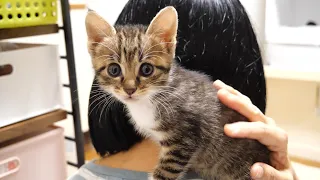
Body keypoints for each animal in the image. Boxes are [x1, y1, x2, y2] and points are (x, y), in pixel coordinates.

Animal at [85, 6, 270, 179]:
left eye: (146, 69)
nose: (130, 89)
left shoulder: (184, 138)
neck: (150, 100)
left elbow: (166, 171)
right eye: (114, 70)